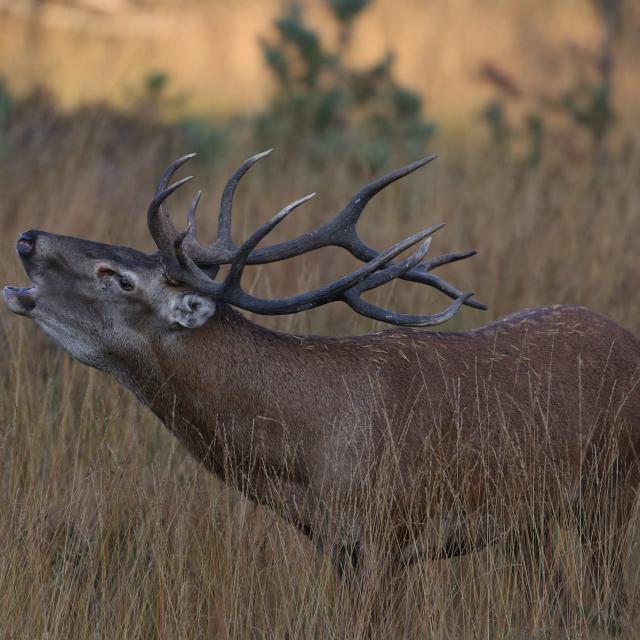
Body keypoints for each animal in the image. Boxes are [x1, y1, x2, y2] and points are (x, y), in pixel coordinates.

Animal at [4, 151, 640, 628]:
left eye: (119, 277)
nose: (27, 237)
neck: (304, 454)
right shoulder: (338, 549)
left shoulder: (387, 535)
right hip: (530, 524)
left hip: (610, 495)